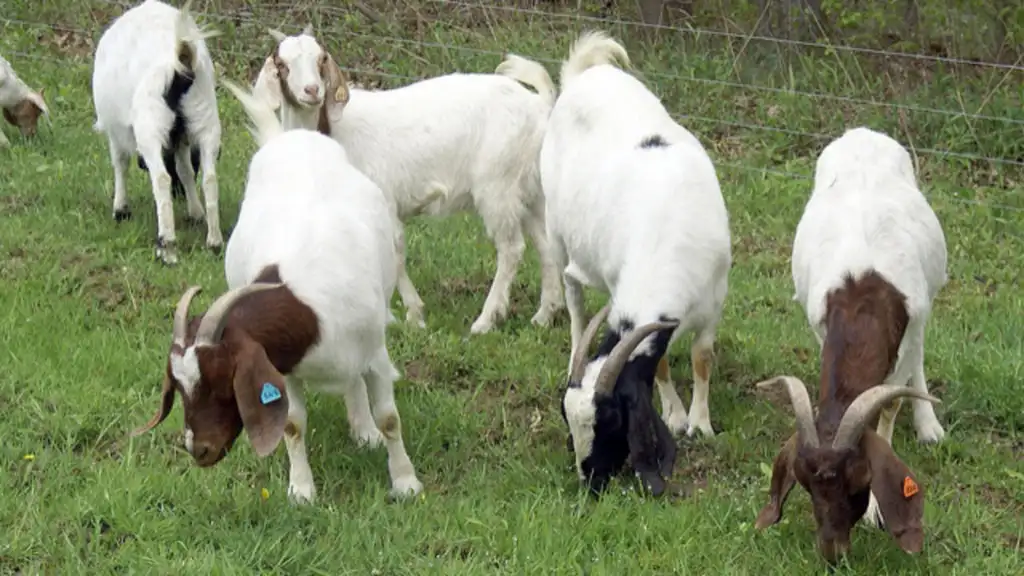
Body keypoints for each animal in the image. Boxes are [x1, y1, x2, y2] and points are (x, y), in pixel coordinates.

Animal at [91, 0, 223, 265]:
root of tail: (181, 59)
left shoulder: (115, 129)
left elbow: (120, 163)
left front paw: (120, 209)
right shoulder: (180, 138)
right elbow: (185, 170)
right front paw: (196, 212)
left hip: (150, 124)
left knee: (161, 178)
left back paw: (167, 247)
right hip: (205, 119)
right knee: (210, 178)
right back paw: (214, 242)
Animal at [129, 78, 423, 503]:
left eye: (221, 380)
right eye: (179, 388)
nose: (199, 451)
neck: (307, 309)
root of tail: (290, 139)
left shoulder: (375, 354)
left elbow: (390, 418)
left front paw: (405, 483)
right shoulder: (284, 366)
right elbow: (292, 424)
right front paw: (301, 491)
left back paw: (364, 431)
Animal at [250, 27, 563, 335]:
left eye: (321, 59)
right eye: (282, 65)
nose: (312, 90)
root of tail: (540, 105)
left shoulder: (383, 201)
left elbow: (394, 253)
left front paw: (412, 315)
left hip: (498, 185)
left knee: (511, 249)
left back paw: (486, 320)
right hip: (530, 190)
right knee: (546, 244)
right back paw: (544, 315)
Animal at [545, 32, 732, 496]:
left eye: (611, 419)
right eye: (569, 419)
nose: (590, 480)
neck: (666, 229)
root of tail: (584, 74)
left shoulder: (715, 296)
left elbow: (702, 356)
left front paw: (701, 423)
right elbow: (661, 364)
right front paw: (676, 415)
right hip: (556, 231)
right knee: (571, 292)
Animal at [752, 126, 947, 564]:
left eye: (858, 482)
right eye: (805, 484)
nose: (833, 553)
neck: (863, 295)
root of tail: (862, 132)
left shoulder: (911, 329)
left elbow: (889, 403)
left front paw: (877, 510)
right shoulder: (820, 326)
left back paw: (929, 425)